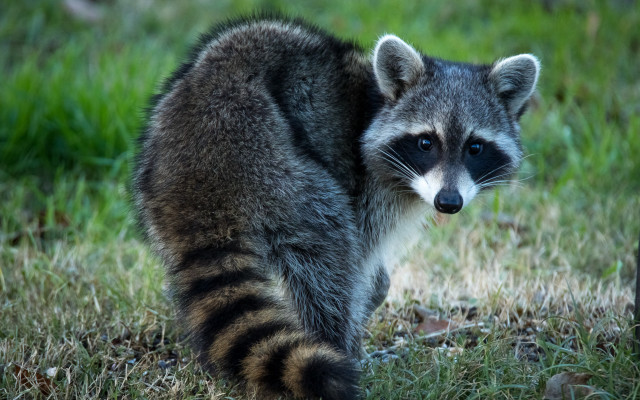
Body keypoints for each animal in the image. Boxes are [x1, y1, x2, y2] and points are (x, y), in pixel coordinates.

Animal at [133, 15, 539, 400]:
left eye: (475, 147)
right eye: (426, 142)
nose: (448, 202)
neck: (377, 102)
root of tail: (199, 173)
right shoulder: (365, 183)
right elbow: (359, 258)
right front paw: (366, 307)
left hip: (154, 182)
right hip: (274, 163)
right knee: (329, 249)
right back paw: (337, 344)